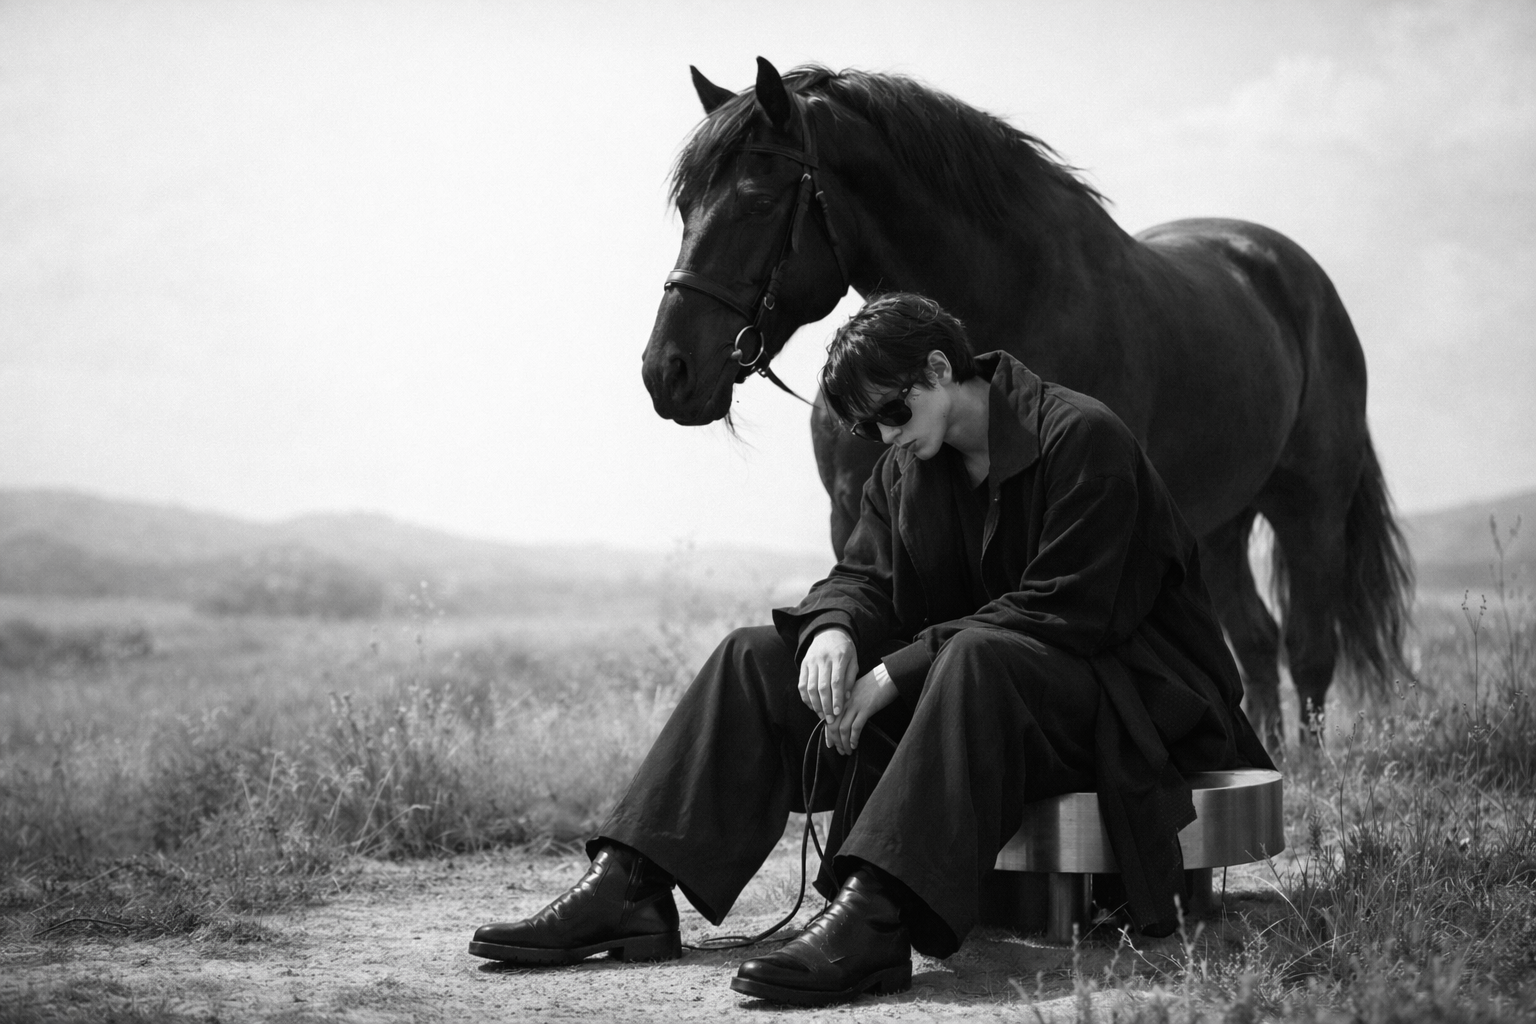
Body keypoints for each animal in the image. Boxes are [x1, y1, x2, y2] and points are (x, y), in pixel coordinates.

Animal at [640, 58, 1413, 751]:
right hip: (1220, 523)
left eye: (757, 202)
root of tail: (1285, 268)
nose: (665, 371)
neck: (1007, 294)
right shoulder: (852, 521)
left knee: (1308, 648)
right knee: (1256, 641)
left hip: (1309, 506)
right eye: (685, 206)